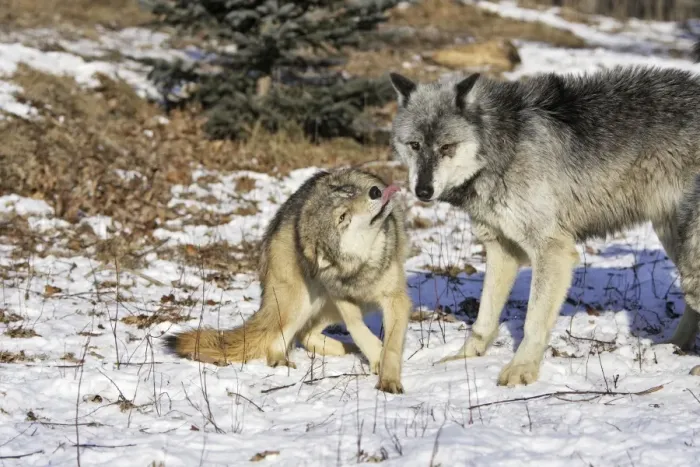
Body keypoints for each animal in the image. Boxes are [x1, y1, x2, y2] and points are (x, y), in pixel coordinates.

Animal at [164, 168, 412, 393]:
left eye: (350, 192)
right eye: (343, 217)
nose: (375, 191)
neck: (361, 267)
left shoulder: (395, 299)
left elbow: (390, 345)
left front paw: (387, 374)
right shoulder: (340, 296)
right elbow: (356, 327)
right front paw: (380, 361)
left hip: (324, 306)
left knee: (304, 333)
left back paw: (348, 349)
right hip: (302, 302)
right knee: (282, 338)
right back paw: (281, 362)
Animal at [388, 65, 700, 387]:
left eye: (447, 147)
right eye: (415, 145)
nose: (423, 191)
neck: (504, 144)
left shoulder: (552, 251)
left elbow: (533, 322)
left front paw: (521, 369)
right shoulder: (501, 250)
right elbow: (484, 318)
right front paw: (465, 357)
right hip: (675, 240)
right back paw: (676, 344)